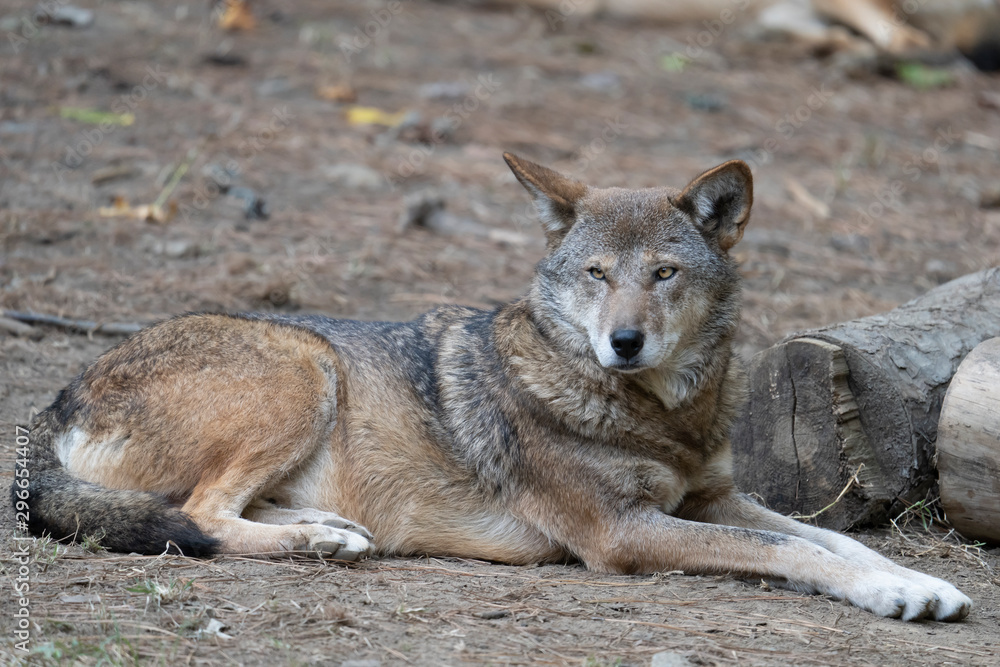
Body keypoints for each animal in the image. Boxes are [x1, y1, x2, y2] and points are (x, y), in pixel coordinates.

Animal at [13, 154, 971, 622]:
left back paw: (332, 530)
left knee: (219, 509)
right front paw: (890, 596)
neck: (658, 413)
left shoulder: (710, 499)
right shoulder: (624, 532)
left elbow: (833, 538)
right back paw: (315, 542)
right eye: (594, 274)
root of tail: (54, 400)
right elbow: (791, 549)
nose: (624, 341)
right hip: (303, 365)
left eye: (663, 273)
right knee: (201, 515)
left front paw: (917, 583)